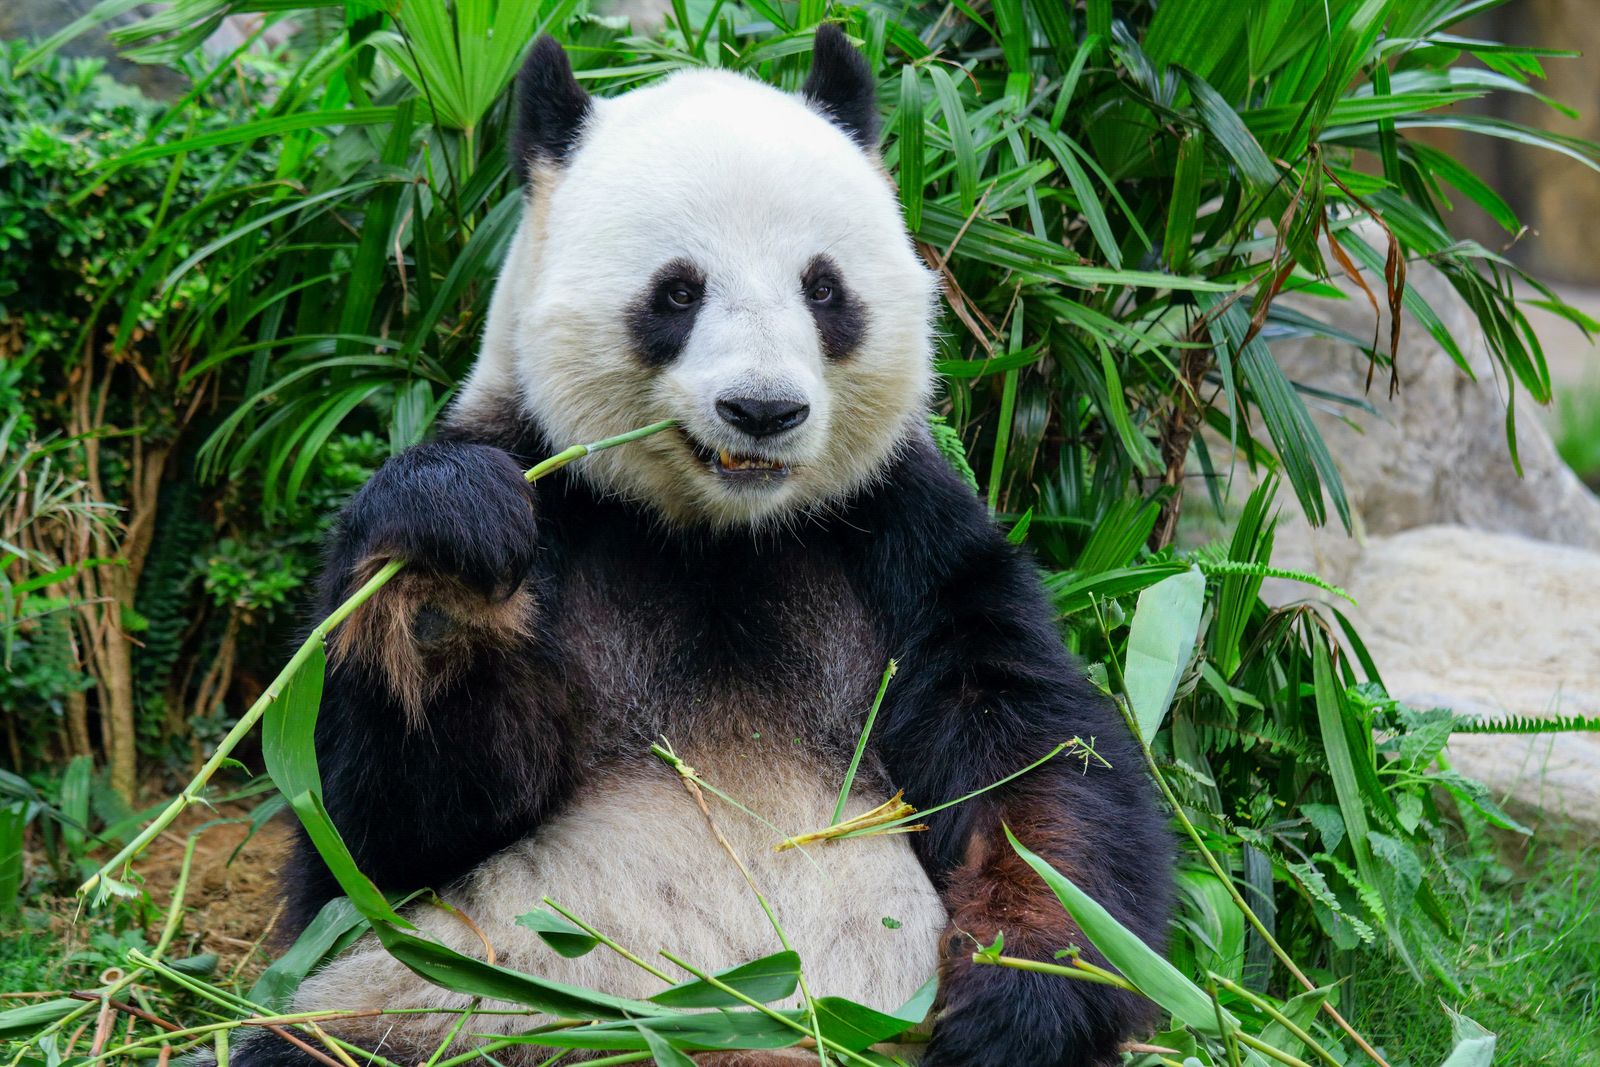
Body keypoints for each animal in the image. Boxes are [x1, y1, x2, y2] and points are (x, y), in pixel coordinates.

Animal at [248, 25, 1173, 1067]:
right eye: (678, 291)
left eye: (824, 287)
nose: (762, 410)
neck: (717, 534)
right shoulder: (552, 492)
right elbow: (374, 833)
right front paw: (448, 568)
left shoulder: (902, 536)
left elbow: (1034, 762)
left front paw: (1017, 1000)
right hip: (452, 1009)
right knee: (330, 1037)